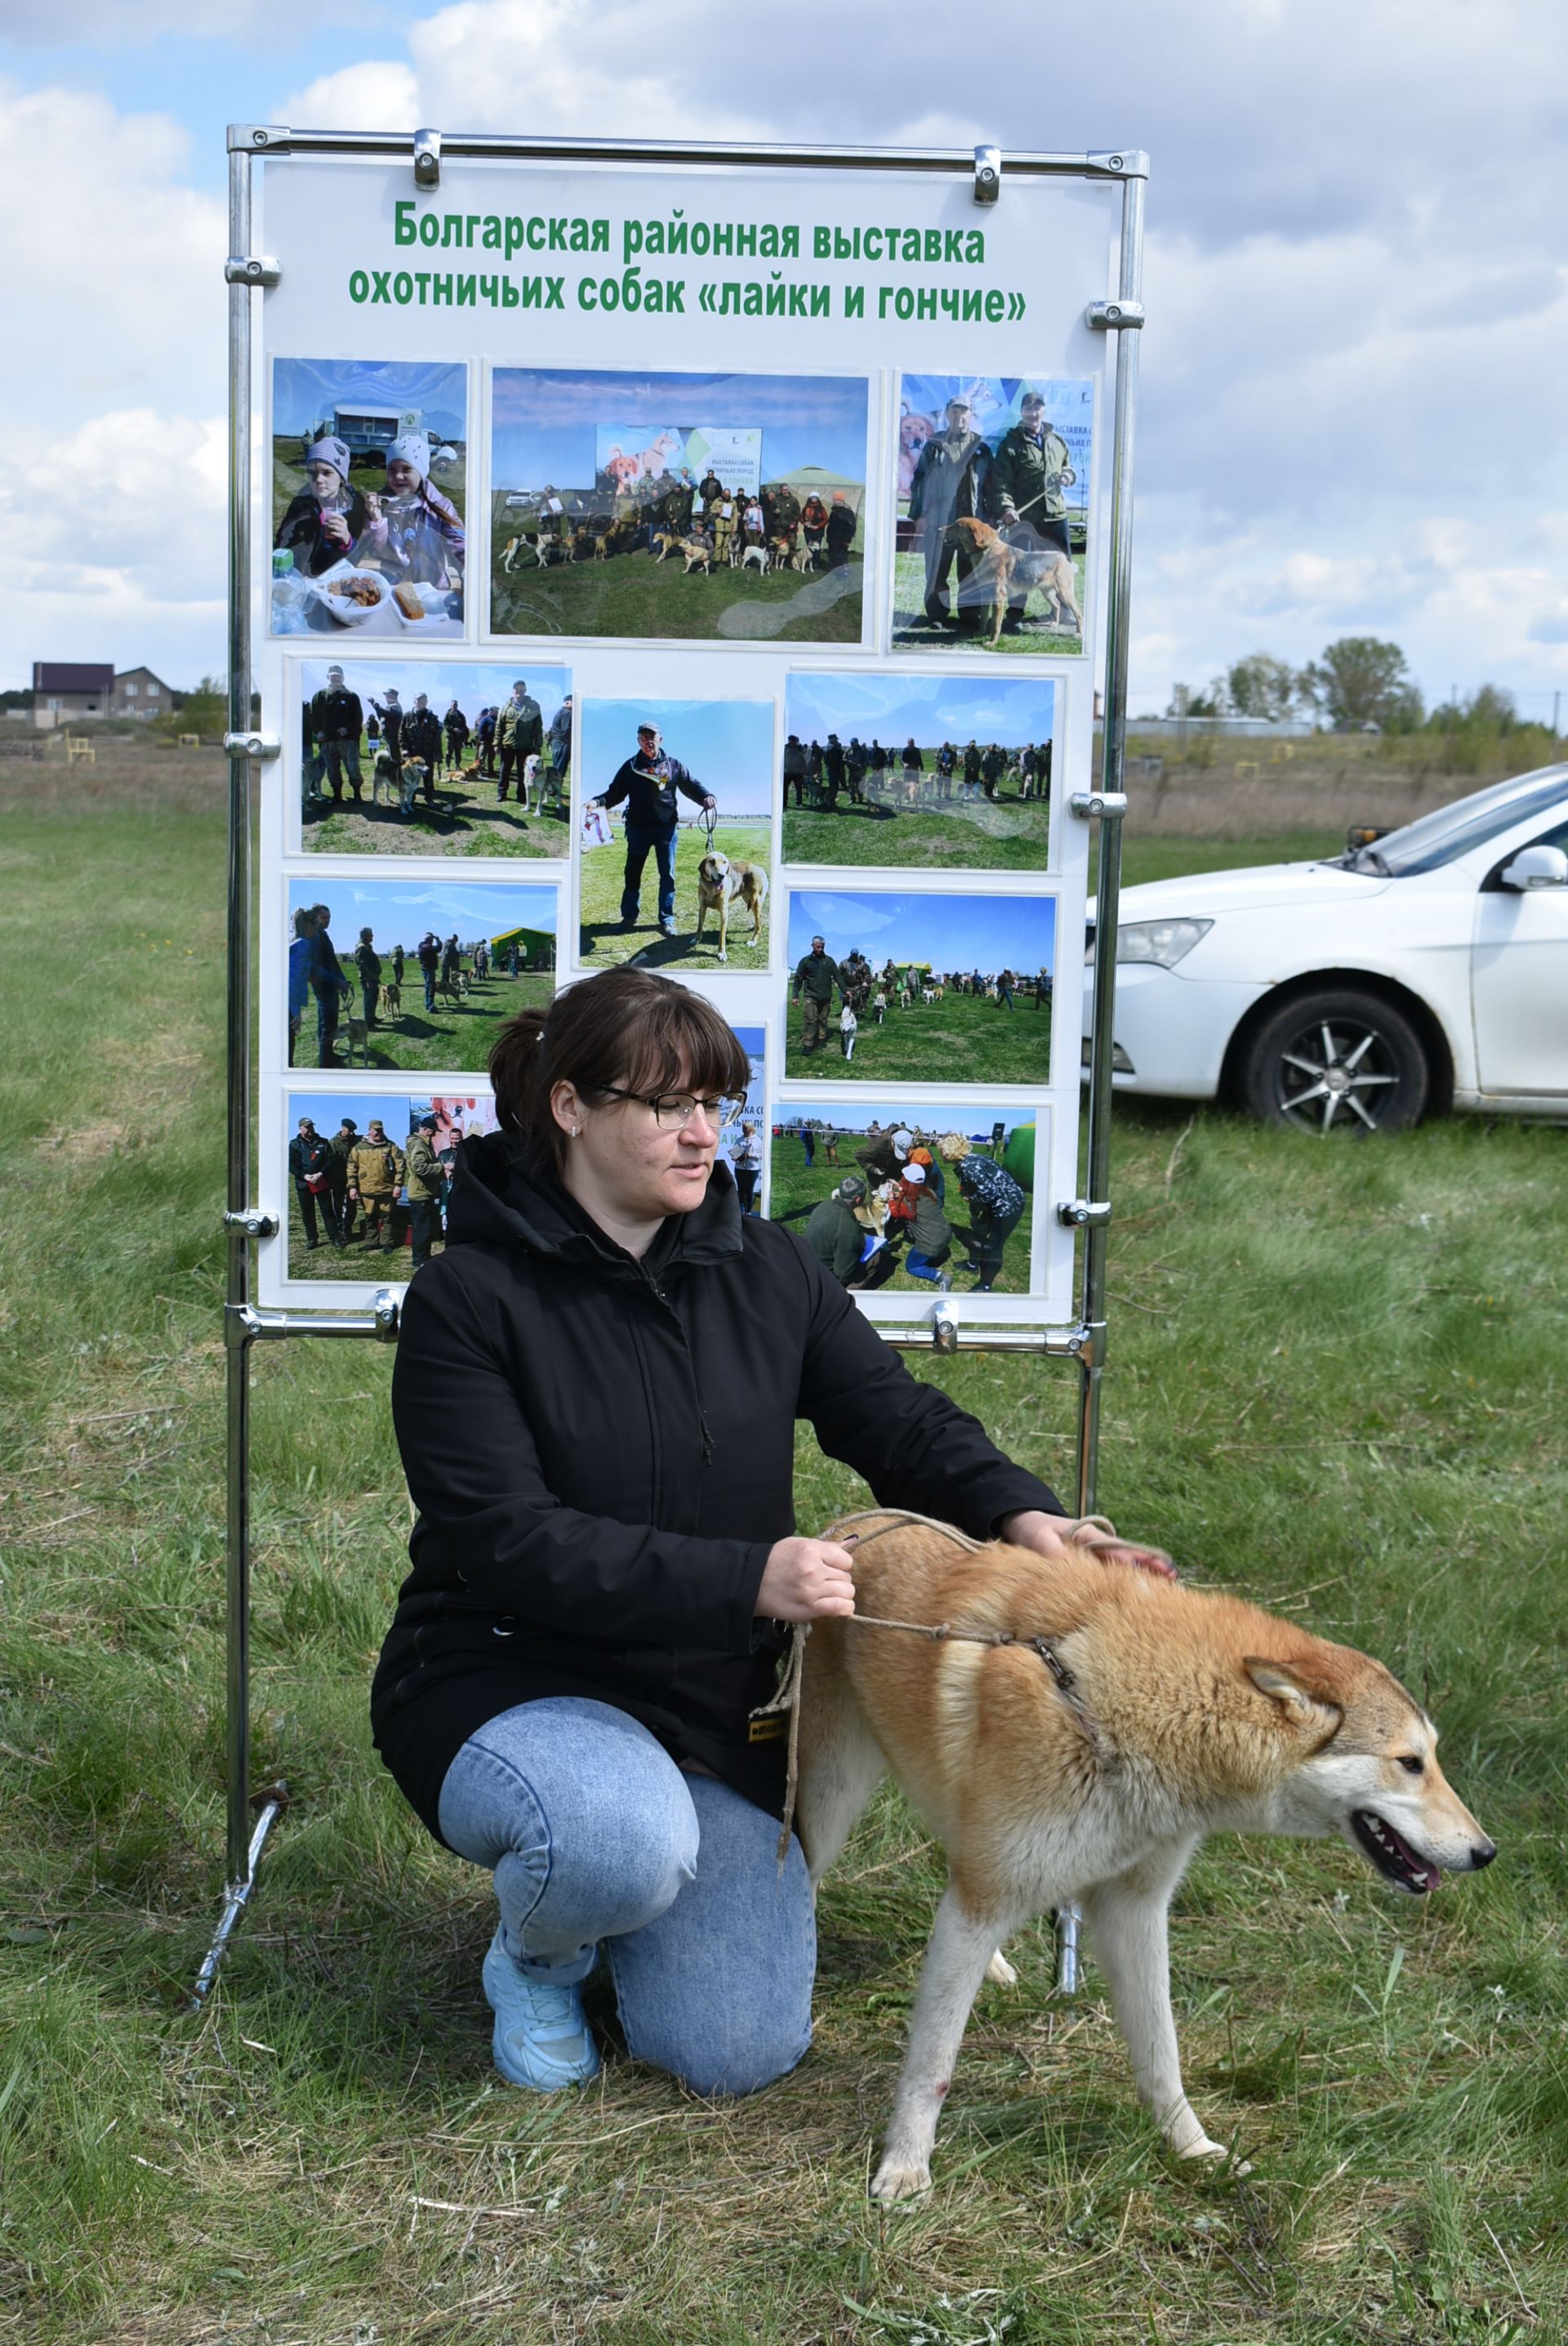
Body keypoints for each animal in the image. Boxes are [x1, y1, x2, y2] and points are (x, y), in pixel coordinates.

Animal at [796, 1520, 1490, 2196]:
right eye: (1410, 1763)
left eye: (1431, 1758)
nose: (1487, 1852)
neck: (1116, 1708)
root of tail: (847, 1531)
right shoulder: (991, 1895)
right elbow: (933, 2061)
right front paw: (905, 2167)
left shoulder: (1132, 1908)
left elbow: (1162, 2054)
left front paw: (1194, 2152)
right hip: (831, 1806)